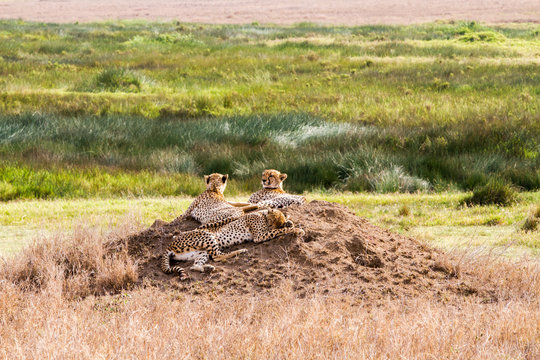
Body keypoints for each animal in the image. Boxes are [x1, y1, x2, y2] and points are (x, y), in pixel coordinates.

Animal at [160, 208, 304, 278]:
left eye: (276, 222)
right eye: (272, 220)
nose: (271, 225)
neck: (262, 215)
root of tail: (169, 244)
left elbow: (282, 226)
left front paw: (289, 223)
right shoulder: (259, 236)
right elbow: (278, 231)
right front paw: (296, 229)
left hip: (200, 252)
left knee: (196, 265)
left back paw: (207, 268)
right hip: (208, 235)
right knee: (217, 256)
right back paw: (240, 251)